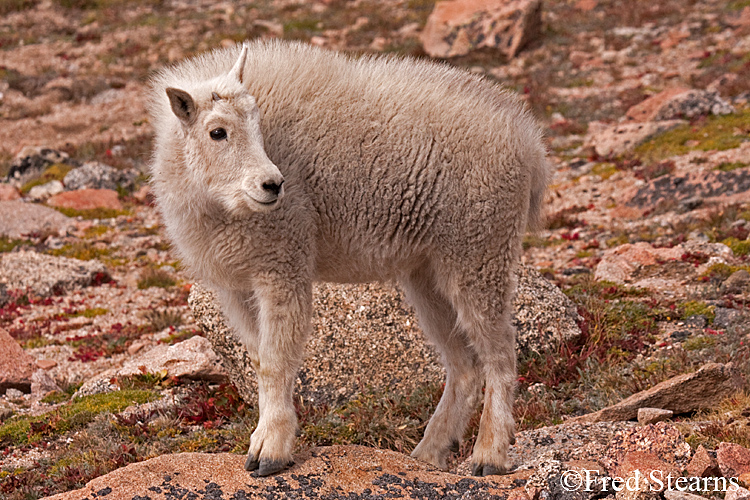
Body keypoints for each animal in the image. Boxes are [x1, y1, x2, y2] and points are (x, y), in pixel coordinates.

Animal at [148, 41, 548, 478]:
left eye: (257, 124)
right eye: (217, 132)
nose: (273, 185)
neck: (217, 203)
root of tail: (529, 142)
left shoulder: (284, 262)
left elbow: (276, 361)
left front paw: (270, 451)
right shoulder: (237, 286)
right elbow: (259, 360)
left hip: (479, 252)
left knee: (501, 354)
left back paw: (489, 454)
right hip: (429, 273)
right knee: (464, 365)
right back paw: (428, 454)